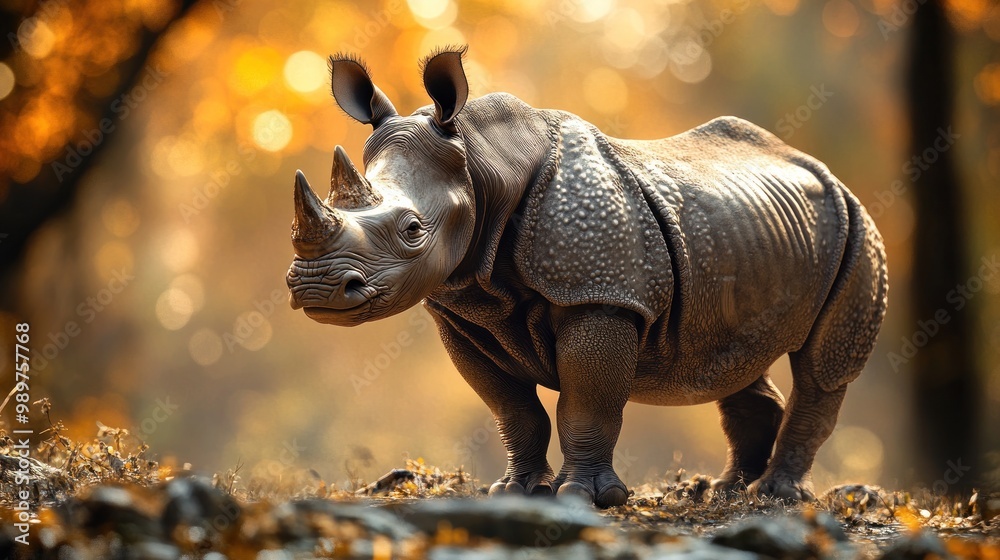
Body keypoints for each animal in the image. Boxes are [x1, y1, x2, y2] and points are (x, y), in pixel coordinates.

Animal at [286, 47, 888, 508]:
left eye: (412, 230)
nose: (316, 287)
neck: (482, 165)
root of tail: (816, 166)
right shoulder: (463, 310)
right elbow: (511, 408)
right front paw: (515, 490)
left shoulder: (602, 296)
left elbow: (587, 400)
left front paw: (585, 497)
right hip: (752, 232)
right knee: (730, 355)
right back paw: (727, 492)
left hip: (858, 226)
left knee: (822, 369)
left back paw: (774, 496)